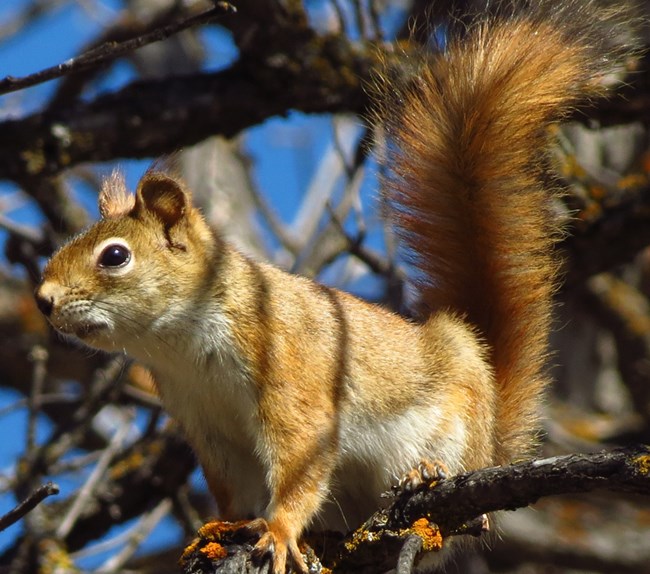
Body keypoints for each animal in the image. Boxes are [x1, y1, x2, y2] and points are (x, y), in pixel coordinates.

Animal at [35, 2, 636, 572]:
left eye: (115, 256)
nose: (43, 301)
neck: (181, 345)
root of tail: (495, 446)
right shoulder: (209, 427)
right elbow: (233, 493)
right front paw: (215, 532)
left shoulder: (290, 373)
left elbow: (300, 457)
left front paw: (278, 531)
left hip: (458, 414)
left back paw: (427, 472)